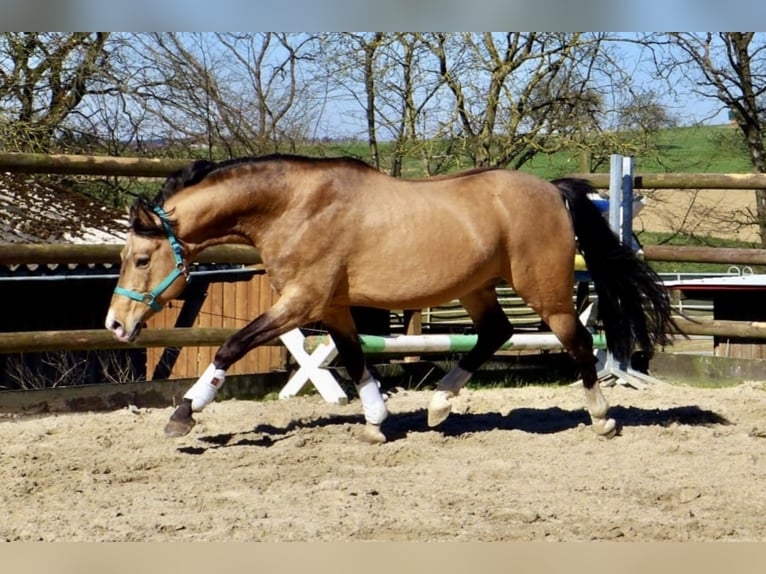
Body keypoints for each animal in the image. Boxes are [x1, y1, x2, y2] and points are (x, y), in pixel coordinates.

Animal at [105, 154, 677, 443]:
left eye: (141, 259)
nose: (114, 324)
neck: (293, 206)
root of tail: (551, 190)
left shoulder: (302, 301)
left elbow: (232, 345)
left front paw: (184, 413)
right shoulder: (332, 306)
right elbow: (356, 360)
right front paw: (377, 423)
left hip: (546, 292)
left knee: (577, 341)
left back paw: (602, 418)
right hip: (476, 287)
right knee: (496, 332)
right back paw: (439, 407)